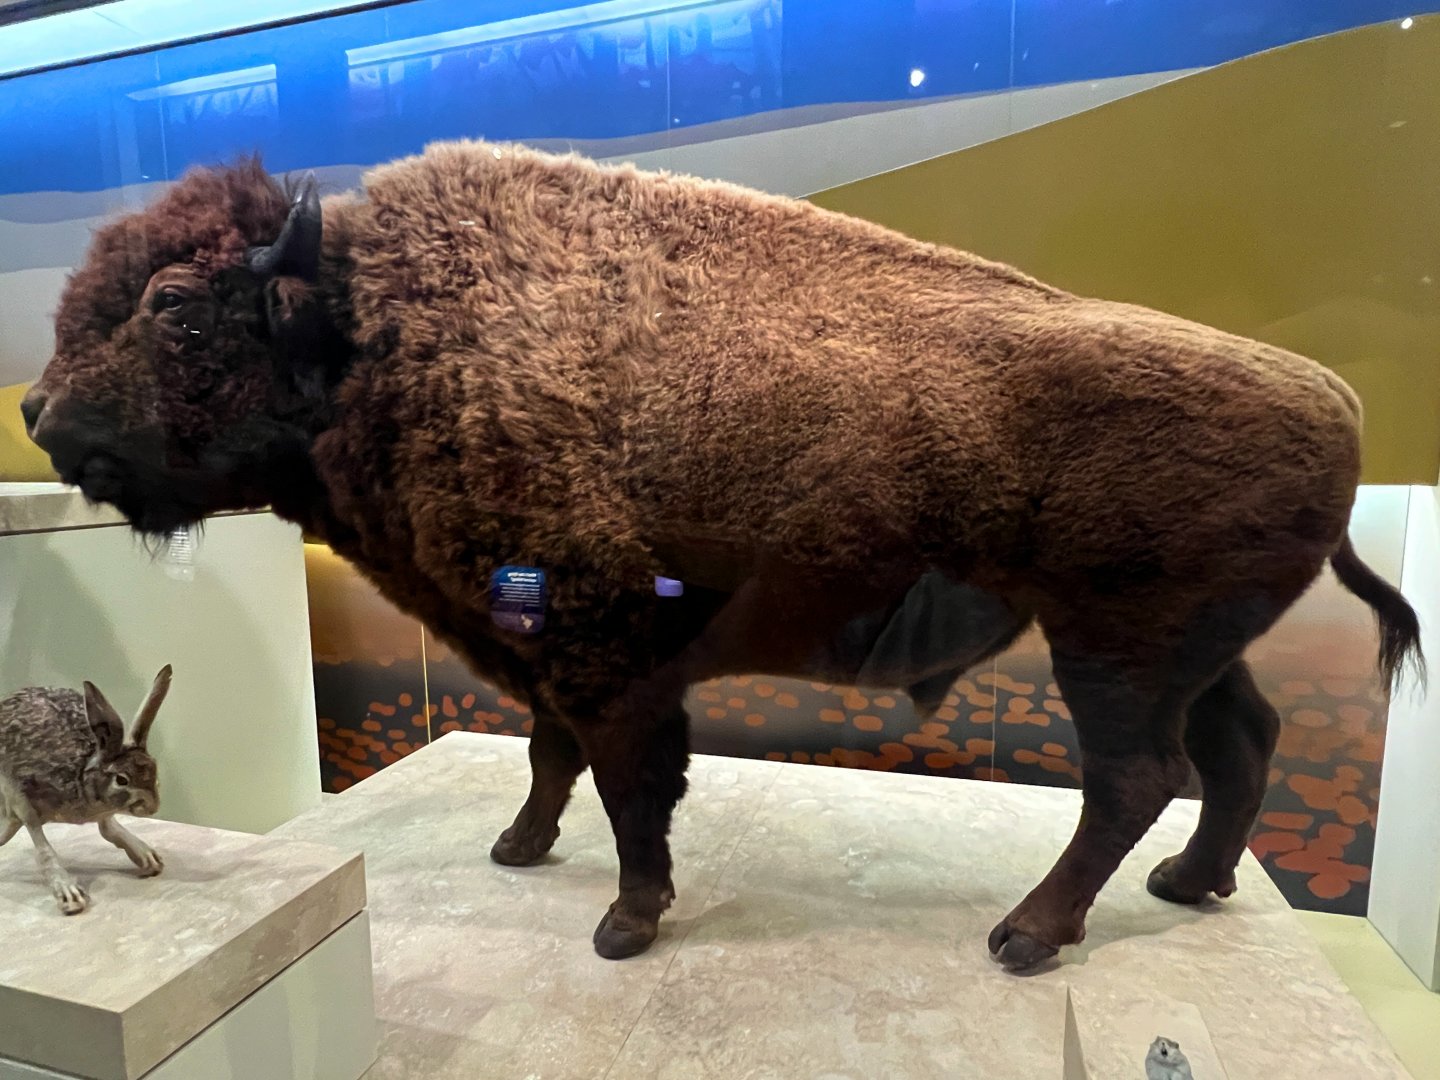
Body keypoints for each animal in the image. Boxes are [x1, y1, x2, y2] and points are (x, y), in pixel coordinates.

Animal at [21, 141, 1420, 969]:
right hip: (1186, 650)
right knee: (1240, 747)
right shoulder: (544, 650)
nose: (36, 412)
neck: (377, 331)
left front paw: (623, 925)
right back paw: (1190, 885)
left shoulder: (608, 655)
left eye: (175, 307)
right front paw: (519, 851)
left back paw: (1028, 936)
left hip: (1111, 650)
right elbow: (551, 756)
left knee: (1134, 776)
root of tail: (1343, 407)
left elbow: (633, 789)